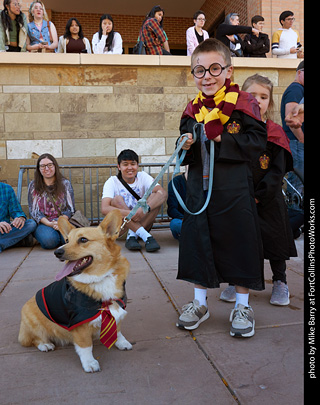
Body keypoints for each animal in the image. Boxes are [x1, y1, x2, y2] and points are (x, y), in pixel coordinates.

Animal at [18, 210, 131, 370]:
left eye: (83, 240)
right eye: (66, 240)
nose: (57, 252)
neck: (100, 278)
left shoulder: (117, 309)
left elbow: (118, 330)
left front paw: (121, 342)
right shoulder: (80, 326)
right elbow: (86, 346)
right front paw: (89, 363)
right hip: (34, 322)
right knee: (34, 339)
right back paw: (45, 345)